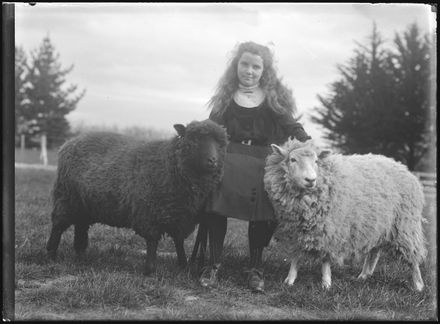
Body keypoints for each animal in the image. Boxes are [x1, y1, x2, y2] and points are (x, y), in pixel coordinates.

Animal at [46, 119, 229, 274]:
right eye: (195, 140)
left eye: (221, 144)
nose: (212, 160)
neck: (170, 163)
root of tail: (69, 142)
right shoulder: (150, 212)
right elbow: (152, 241)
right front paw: (150, 270)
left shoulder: (181, 216)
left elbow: (179, 242)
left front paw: (183, 265)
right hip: (66, 196)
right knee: (58, 225)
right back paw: (51, 254)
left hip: (85, 203)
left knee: (81, 226)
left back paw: (80, 255)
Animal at [264, 139, 426, 292]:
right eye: (292, 159)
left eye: (316, 161)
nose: (311, 180)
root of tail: (401, 166)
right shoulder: (295, 231)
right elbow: (295, 256)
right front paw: (290, 280)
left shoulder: (330, 229)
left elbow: (326, 259)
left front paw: (326, 283)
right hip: (379, 223)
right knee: (374, 251)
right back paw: (364, 275)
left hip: (405, 225)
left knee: (413, 256)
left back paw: (418, 285)